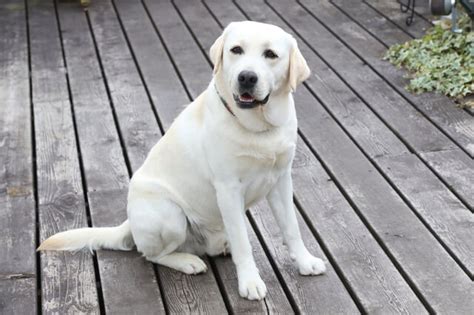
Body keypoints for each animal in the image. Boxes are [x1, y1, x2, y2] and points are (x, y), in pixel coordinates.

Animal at [39, 20, 326, 302]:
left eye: (270, 55)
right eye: (236, 50)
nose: (246, 77)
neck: (259, 127)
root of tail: (129, 222)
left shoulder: (281, 181)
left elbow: (291, 227)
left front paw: (305, 262)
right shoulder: (228, 189)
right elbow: (244, 244)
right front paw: (250, 282)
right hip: (170, 215)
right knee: (151, 254)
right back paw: (187, 261)